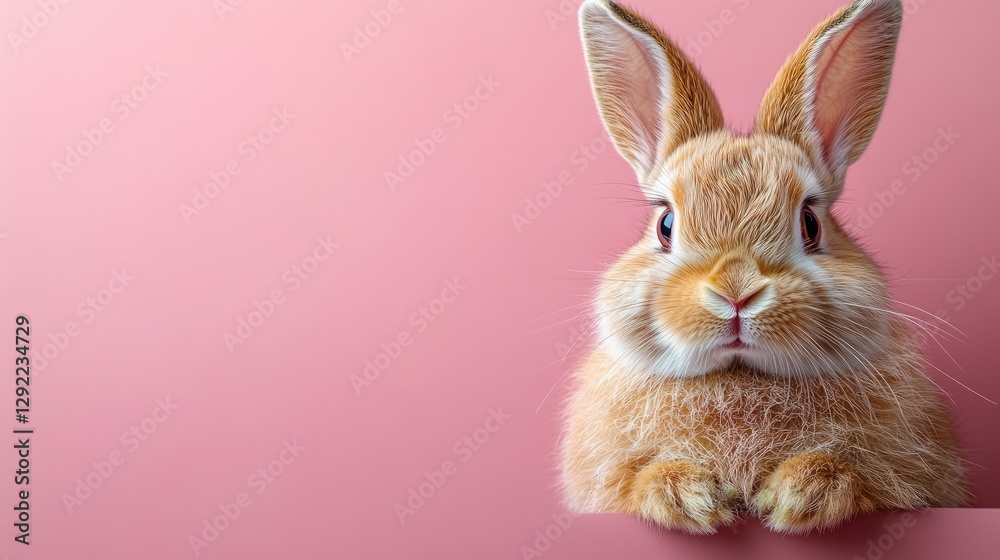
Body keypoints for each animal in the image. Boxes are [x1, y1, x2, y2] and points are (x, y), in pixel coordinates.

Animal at [560, 0, 968, 535]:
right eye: (665, 225)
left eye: (811, 223)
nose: (736, 292)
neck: (741, 376)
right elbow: (634, 484)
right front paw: (689, 497)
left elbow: (862, 479)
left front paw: (800, 494)